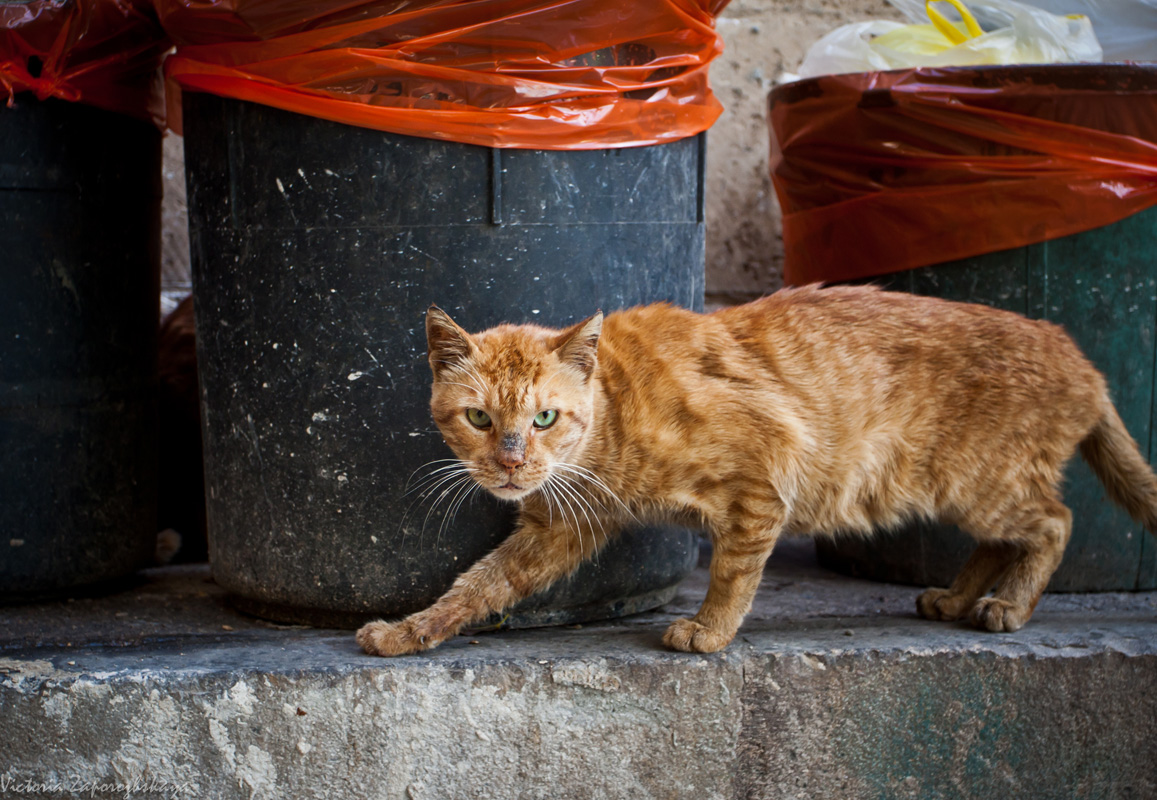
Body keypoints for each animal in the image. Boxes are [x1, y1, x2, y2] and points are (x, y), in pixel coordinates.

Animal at [356, 283, 1157, 657]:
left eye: (545, 418)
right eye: (480, 419)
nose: (512, 462)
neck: (616, 413)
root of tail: (1080, 356)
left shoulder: (762, 479)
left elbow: (732, 574)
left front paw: (708, 634)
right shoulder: (556, 527)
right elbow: (479, 586)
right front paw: (410, 632)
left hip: (983, 485)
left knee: (1054, 522)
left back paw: (1008, 607)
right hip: (964, 492)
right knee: (1005, 538)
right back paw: (958, 598)